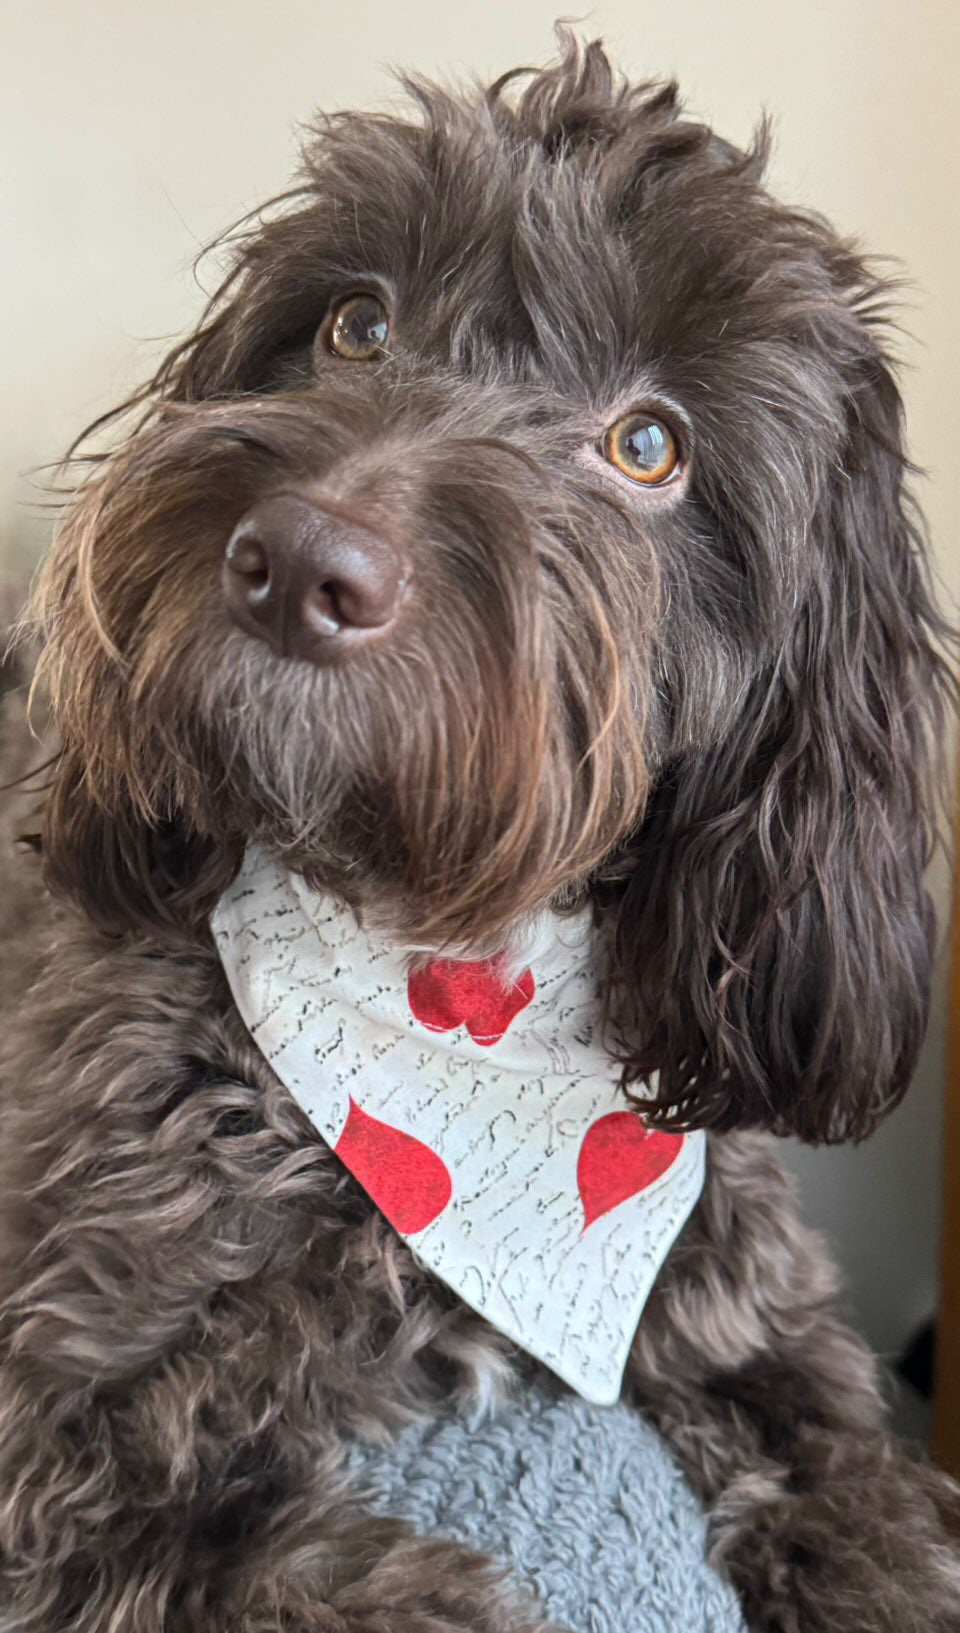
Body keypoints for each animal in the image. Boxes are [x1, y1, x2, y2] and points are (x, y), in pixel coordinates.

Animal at [1, 35, 960, 1633]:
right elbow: (258, 1558)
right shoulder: (57, 1434)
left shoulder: (741, 1294)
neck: (442, 958)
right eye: (353, 324)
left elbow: (859, 1477)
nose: (296, 559)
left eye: (651, 446)